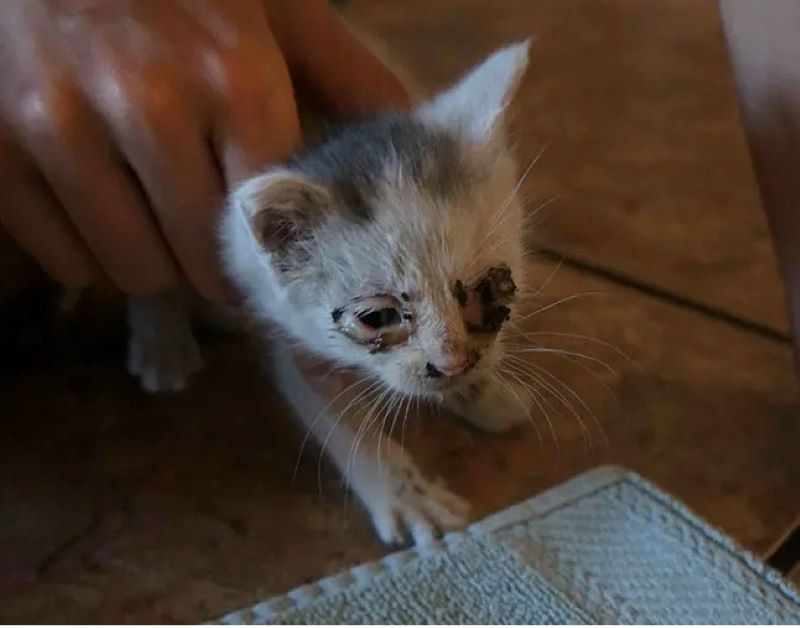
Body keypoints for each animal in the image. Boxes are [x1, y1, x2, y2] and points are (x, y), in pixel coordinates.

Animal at [128, 43, 536, 544]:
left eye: (488, 290)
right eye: (376, 318)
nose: (453, 363)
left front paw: (485, 394)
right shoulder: (285, 323)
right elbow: (338, 415)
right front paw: (403, 493)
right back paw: (163, 342)